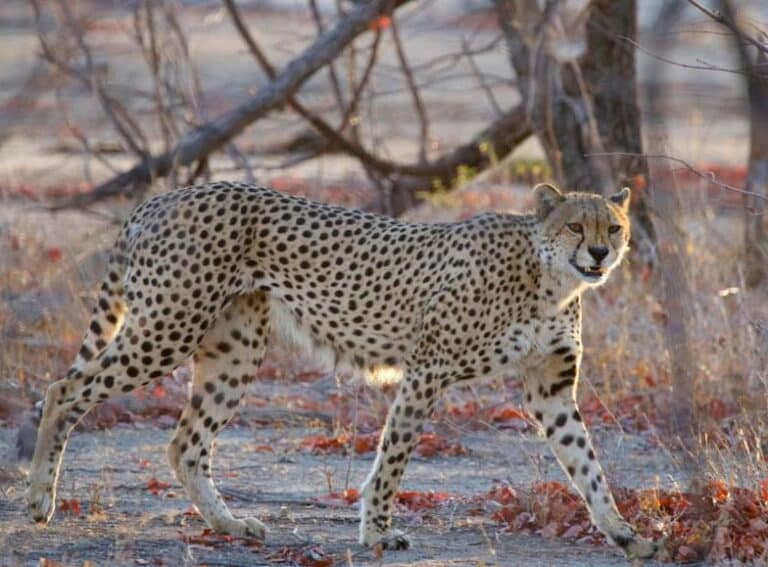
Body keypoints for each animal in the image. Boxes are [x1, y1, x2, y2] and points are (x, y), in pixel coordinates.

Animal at [25, 181, 660, 560]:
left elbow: (587, 465)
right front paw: (377, 531)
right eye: (576, 227)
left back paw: (231, 526)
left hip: (233, 349)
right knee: (64, 389)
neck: (548, 280)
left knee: (186, 443)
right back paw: (39, 503)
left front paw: (623, 532)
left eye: (614, 228)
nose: (601, 254)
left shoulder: (549, 389)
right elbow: (393, 458)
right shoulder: (427, 370)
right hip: (169, 326)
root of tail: (167, 195)